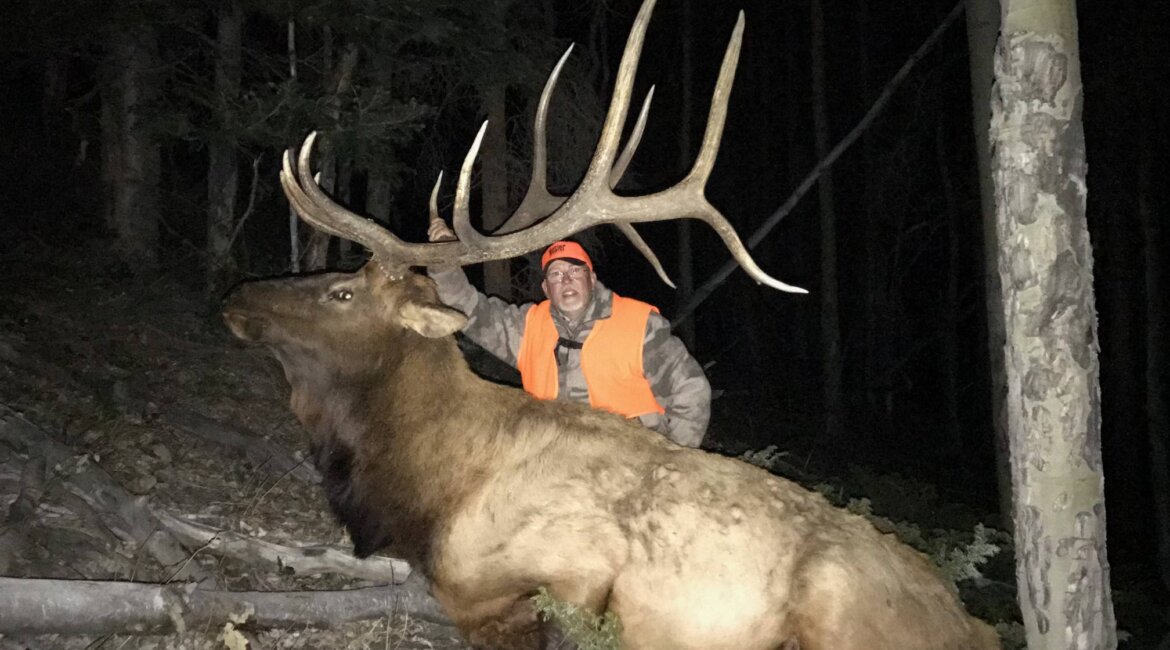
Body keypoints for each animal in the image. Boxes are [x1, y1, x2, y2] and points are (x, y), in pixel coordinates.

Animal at [222, 0, 1001, 647]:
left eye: (342, 292)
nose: (236, 298)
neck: (424, 488)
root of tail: (974, 626)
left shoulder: (565, 579)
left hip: (837, 599)